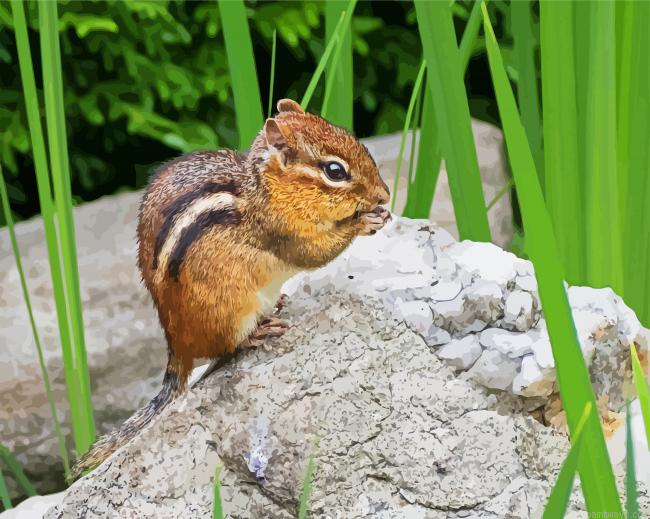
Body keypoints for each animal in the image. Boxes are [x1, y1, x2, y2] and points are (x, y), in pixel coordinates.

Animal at [71, 98, 391, 478]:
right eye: (335, 171)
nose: (385, 194)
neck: (267, 189)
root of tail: (175, 344)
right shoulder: (283, 231)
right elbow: (316, 251)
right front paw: (365, 220)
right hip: (230, 310)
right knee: (227, 347)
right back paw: (258, 331)